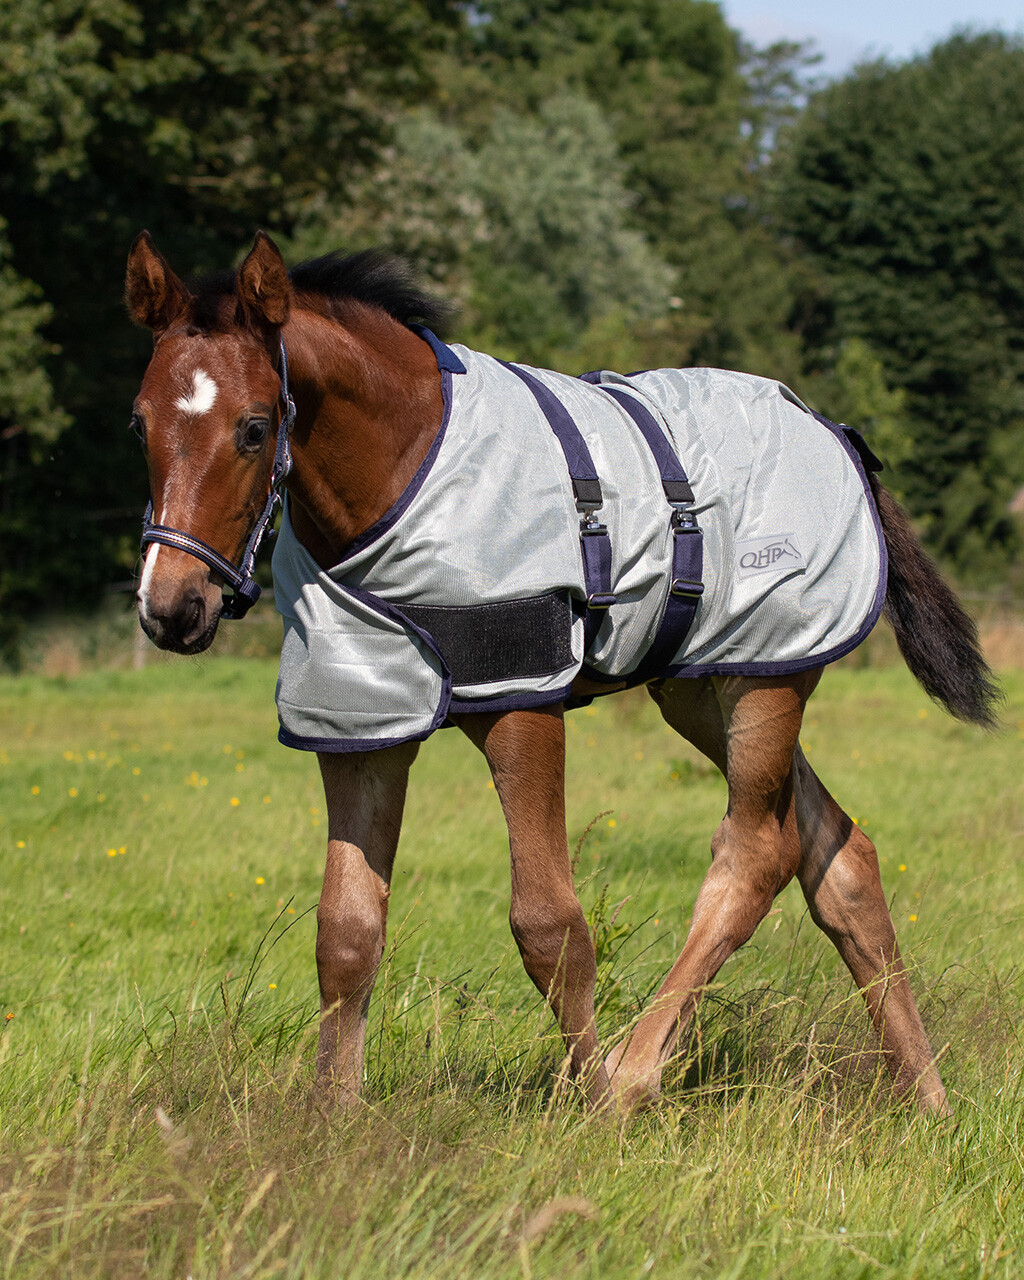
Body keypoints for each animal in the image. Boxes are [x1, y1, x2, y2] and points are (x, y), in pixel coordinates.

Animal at [125, 229, 999, 1117]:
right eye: (139, 424)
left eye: (254, 427)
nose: (172, 607)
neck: (407, 471)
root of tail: (835, 430)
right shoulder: (362, 721)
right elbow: (346, 932)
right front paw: (333, 1119)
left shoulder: (523, 703)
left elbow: (549, 924)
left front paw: (588, 1103)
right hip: (702, 685)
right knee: (838, 852)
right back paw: (926, 1096)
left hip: (768, 681)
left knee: (759, 851)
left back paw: (634, 1075)